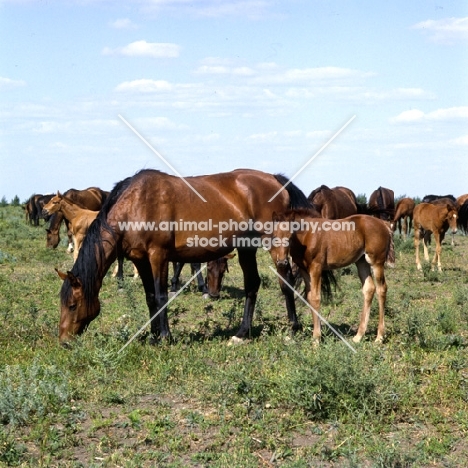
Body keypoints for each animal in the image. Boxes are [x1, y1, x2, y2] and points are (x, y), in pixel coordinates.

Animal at [54, 168, 310, 344]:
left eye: (73, 305)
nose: (64, 341)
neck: (136, 204)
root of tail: (276, 179)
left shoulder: (158, 256)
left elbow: (161, 296)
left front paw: (165, 336)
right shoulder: (140, 259)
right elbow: (150, 297)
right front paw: (153, 335)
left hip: (274, 243)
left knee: (286, 280)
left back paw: (293, 327)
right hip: (247, 247)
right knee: (252, 284)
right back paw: (242, 333)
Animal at [268, 211, 394, 344]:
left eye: (290, 237)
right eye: (274, 236)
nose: (282, 262)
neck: (307, 235)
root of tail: (384, 224)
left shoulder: (316, 267)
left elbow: (316, 298)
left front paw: (316, 339)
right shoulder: (304, 270)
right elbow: (310, 297)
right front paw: (315, 336)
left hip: (376, 262)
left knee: (381, 289)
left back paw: (379, 337)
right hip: (361, 262)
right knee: (369, 288)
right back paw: (358, 336)